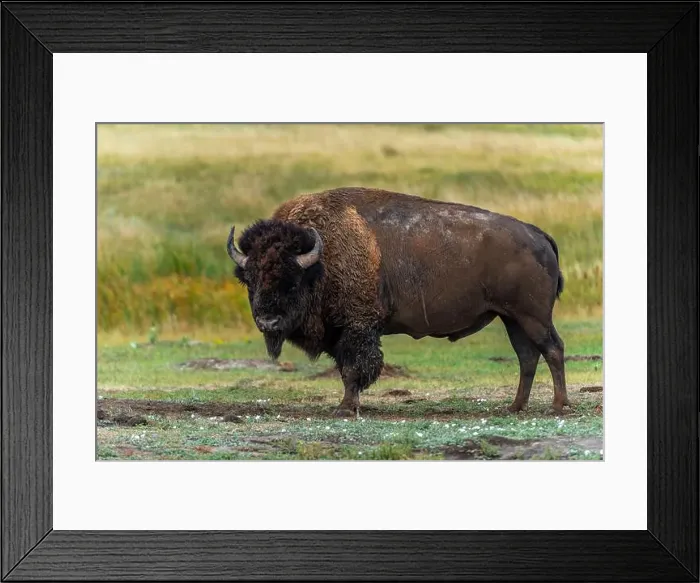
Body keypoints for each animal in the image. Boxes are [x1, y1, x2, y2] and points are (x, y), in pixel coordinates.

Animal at [227, 187, 568, 417]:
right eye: (250, 278)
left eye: (292, 279)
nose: (268, 321)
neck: (321, 260)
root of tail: (537, 234)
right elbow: (346, 369)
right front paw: (350, 405)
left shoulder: (357, 327)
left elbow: (353, 369)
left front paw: (345, 408)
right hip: (512, 318)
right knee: (528, 356)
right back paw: (515, 406)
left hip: (532, 317)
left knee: (552, 349)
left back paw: (557, 406)